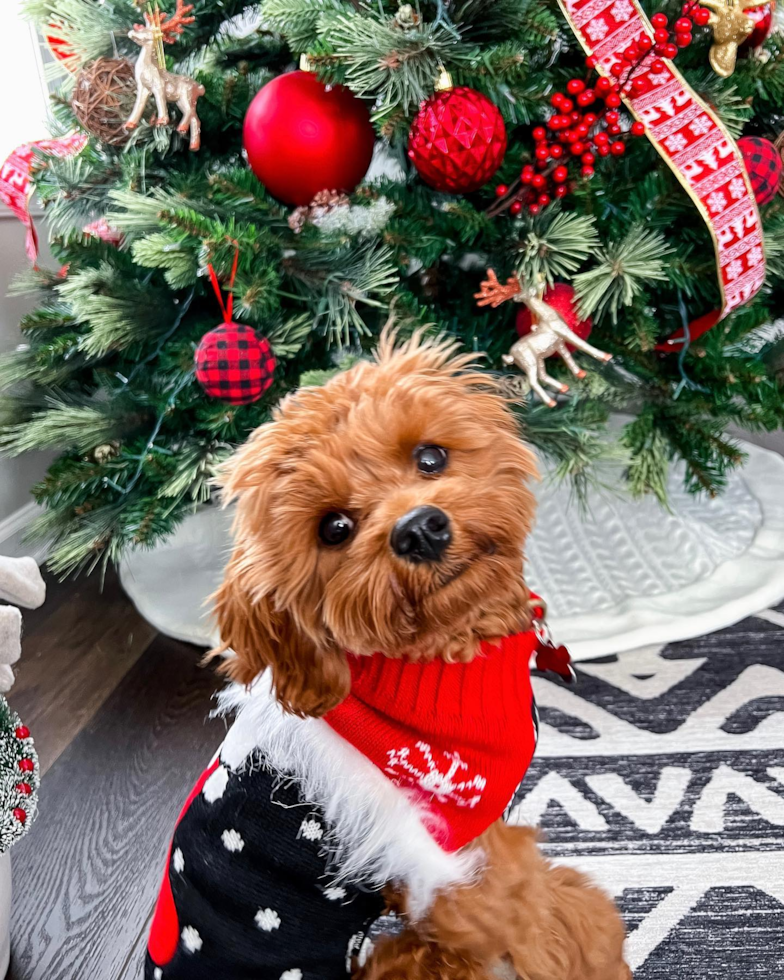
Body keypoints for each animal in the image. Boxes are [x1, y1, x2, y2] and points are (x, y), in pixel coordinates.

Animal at [145, 332, 632, 980]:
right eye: (334, 528)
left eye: (429, 457)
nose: (419, 530)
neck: (438, 660)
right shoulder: (457, 869)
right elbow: (541, 917)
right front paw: (595, 945)